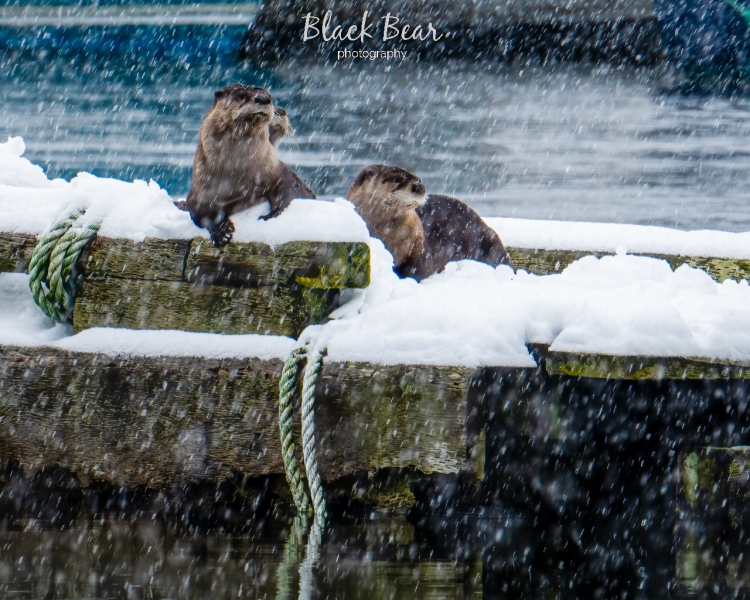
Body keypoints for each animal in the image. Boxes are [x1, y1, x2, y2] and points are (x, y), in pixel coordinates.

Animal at [182, 84, 315, 246]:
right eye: (241, 95)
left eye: (269, 95)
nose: (264, 99)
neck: (235, 176)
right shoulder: (200, 193)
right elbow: (199, 215)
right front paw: (221, 231)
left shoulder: (280, 174)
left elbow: (291, 195)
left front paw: (268, 217)